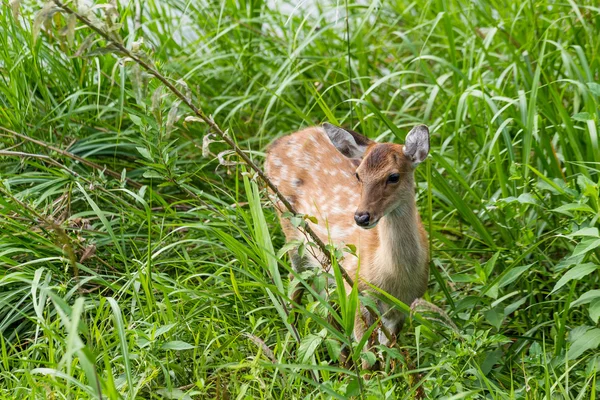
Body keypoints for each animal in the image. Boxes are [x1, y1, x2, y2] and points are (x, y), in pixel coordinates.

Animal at [264, 122, 428, 346]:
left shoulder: (402, 307)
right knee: (295, 283)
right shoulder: (356, 293)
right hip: (289, 226)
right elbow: (367, 352)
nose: (361, 217)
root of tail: (274, 145)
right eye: (358, 175)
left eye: (394, 176)